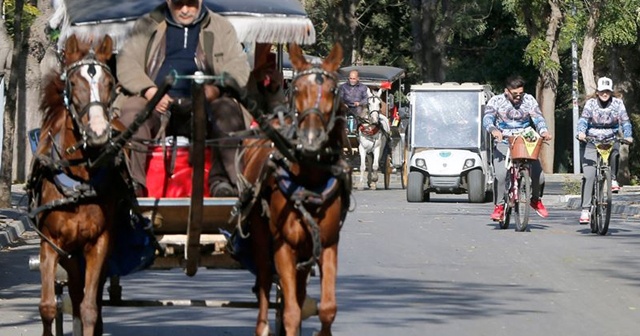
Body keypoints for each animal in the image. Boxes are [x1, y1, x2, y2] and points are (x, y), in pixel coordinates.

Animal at [27, 34, 126, 336]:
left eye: (110, 84)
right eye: (72, 83)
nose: (98, 132)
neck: (80, 181)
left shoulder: (99, 243)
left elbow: (90, 308)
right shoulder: (51, 245)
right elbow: (48, 306)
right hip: (69, 255)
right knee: (72, 290)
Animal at [240, 42, 350, 336]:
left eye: (333, 90)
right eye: (298, 89)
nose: (310, 140)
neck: (309, 180)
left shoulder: (328, 243)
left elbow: (327, 308)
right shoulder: (284, 246)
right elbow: (290, 313)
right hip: (261, 235)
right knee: (265, 281)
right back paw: (262, 326)